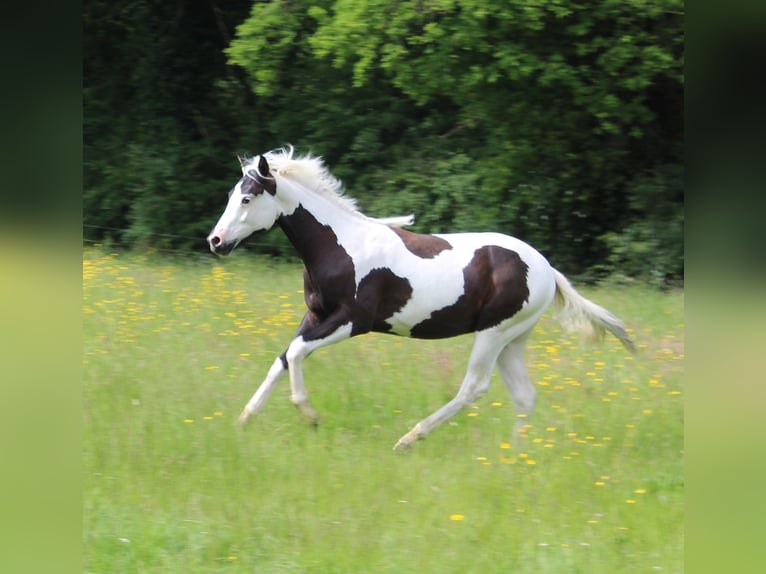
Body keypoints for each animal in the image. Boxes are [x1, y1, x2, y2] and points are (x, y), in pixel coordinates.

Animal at [207, 146, 635, 450]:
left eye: (247, 199)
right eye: (229, 194)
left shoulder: (353, 321)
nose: (215, 241)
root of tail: (546, 268)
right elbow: (283, 358)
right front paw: (244, 420)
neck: (341, 246)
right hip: (514, 339)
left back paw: (409, 439)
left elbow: (294, 354)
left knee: (473, 388)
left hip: (494, 333)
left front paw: (309, 417)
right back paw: (514, 456)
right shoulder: (315, 316)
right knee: (524, 396)